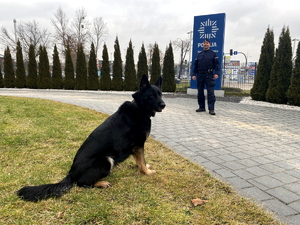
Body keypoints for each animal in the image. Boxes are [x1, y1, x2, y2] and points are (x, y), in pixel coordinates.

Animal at [16, 74, 166, 202]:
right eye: (151, 95)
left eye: (160, 94)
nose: (164, 105)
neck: (139, 108)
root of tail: (71, 174)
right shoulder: (138, 144)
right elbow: (142, 160)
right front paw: (147, 172)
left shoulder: (136, 147)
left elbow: (140, 160)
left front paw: (143, 167)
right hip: (106, 160)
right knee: (82, 183)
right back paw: (101, 183)